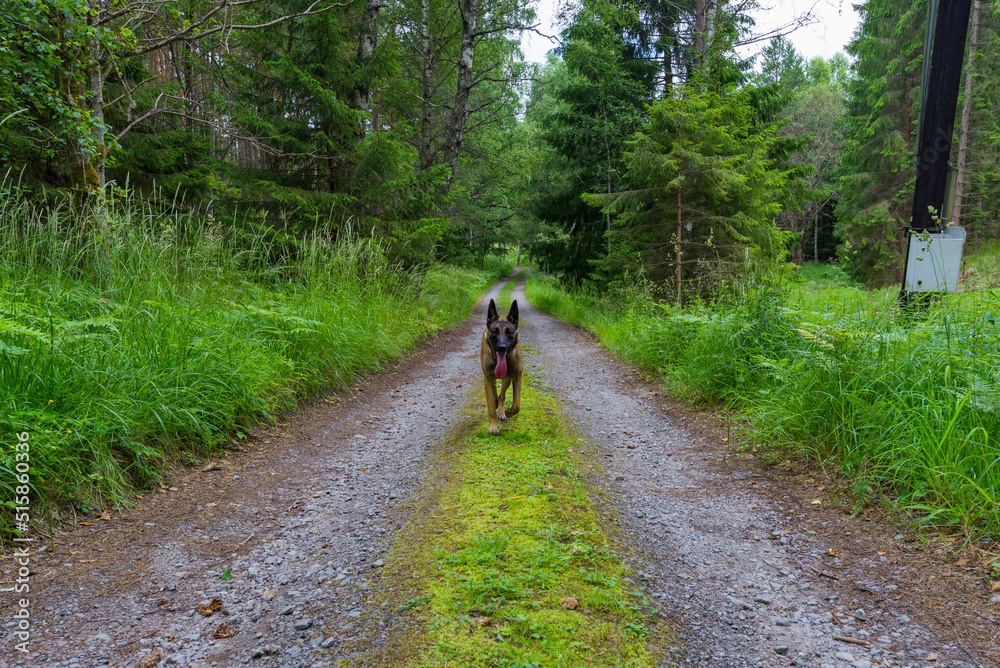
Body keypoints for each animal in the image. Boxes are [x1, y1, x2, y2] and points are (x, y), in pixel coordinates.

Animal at [482, 300, 524, 436]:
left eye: (509, 332)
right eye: (494, 331)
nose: (502, 347)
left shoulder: (517, 377)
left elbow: (516, 405)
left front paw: (508, 412)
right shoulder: (488, 379)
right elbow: (490, 407)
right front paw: (493, 426)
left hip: (507, 379)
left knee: (502, 396)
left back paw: (501, 411)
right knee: (495, 392)